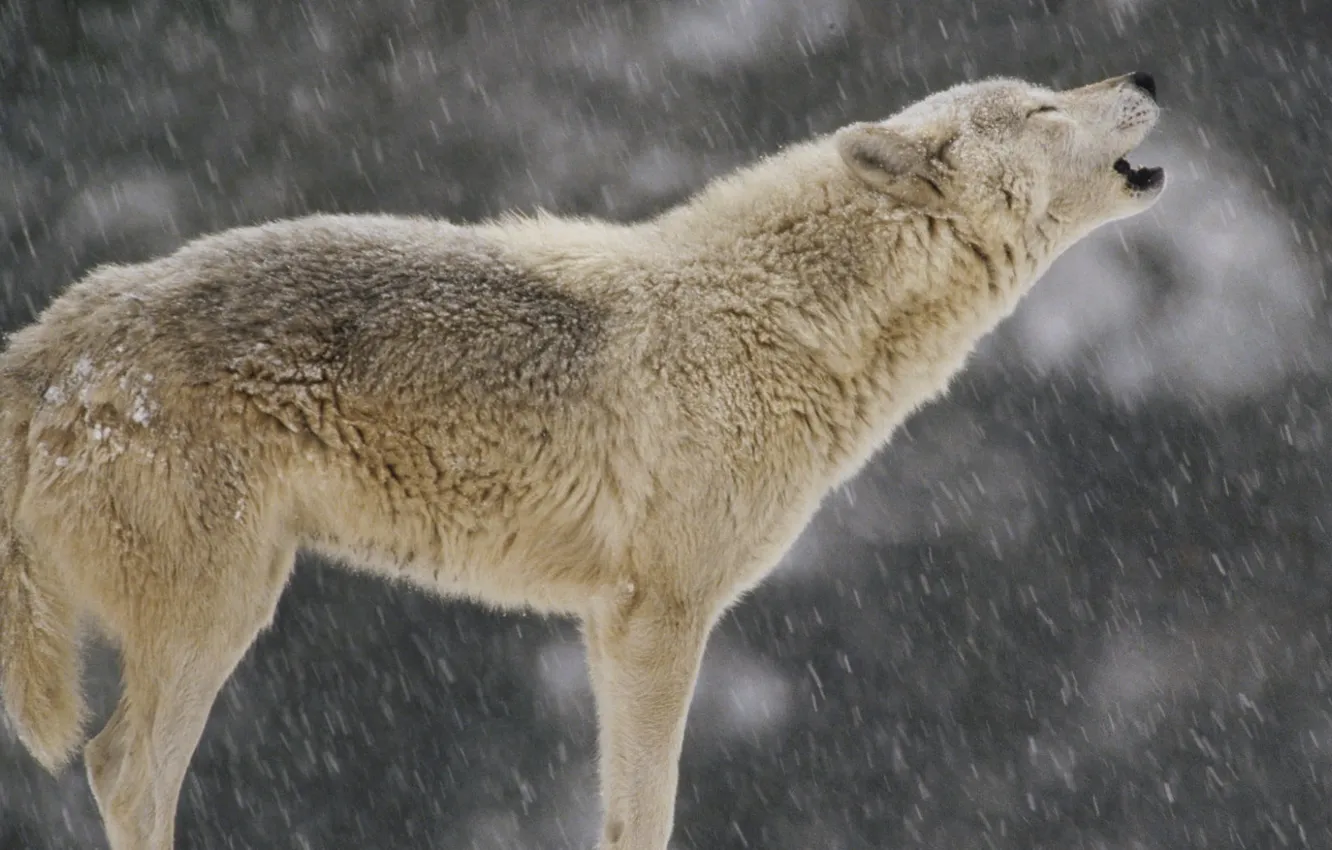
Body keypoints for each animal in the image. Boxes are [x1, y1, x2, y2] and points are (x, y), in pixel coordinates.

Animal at [0, 72, 1164, 849]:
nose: (1146, 76)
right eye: (1045, 107)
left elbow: (617, 816)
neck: (782, 319)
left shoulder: (609, 625)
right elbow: (651, 812)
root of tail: (57, 338)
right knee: (122, 770)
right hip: (222, 610)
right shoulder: (664, 617)